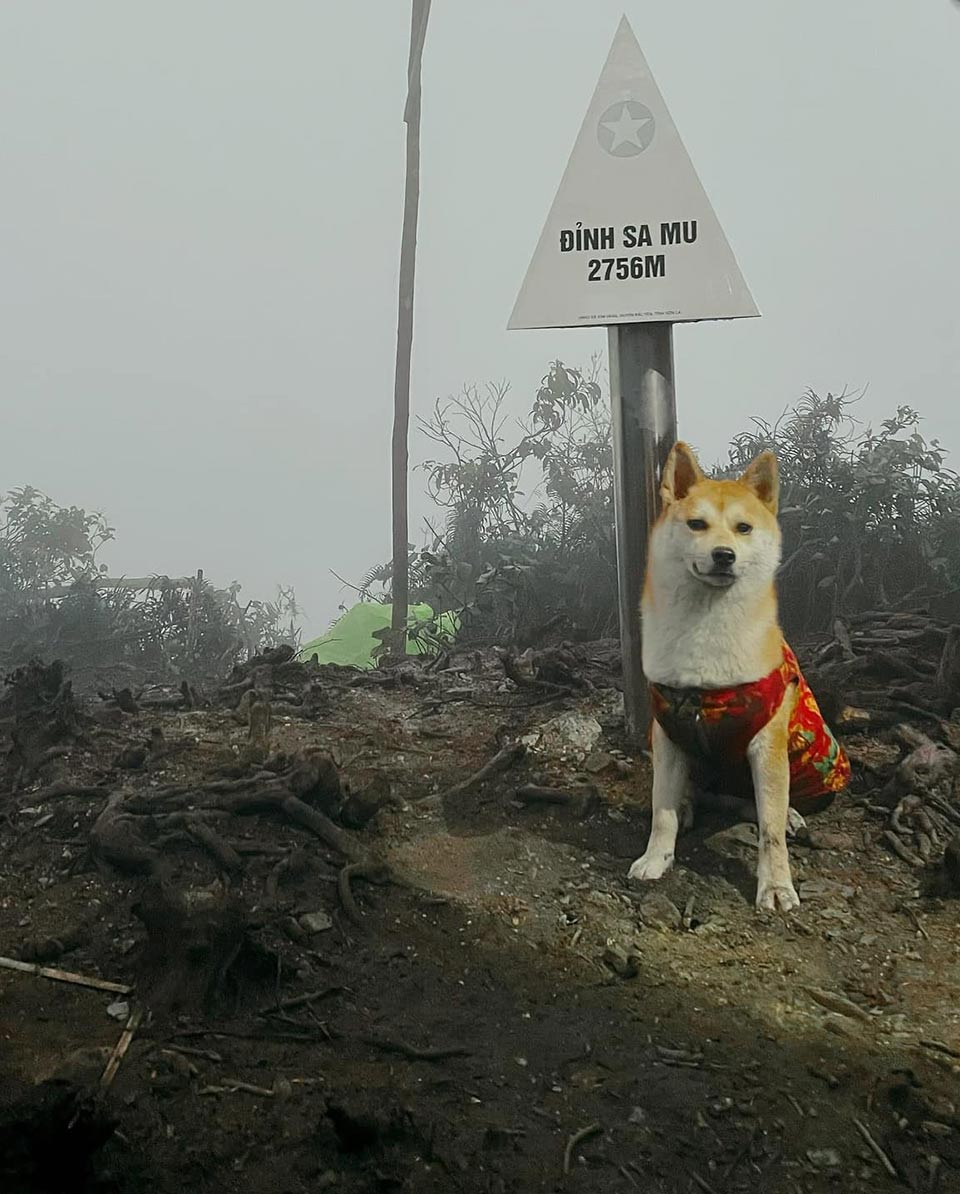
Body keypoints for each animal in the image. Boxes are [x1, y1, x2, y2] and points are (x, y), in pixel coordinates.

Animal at [630, 444, 845, 907]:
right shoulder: (667, 733)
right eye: (697, 524)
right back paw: (690, 804)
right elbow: (661, 811)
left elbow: (770, 831)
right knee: (707, 795)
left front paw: (776, 885)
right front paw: (656, 858)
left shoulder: (766, 744)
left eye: (743, 528)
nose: (723, 555)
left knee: (762, 807)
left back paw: (789, 815)